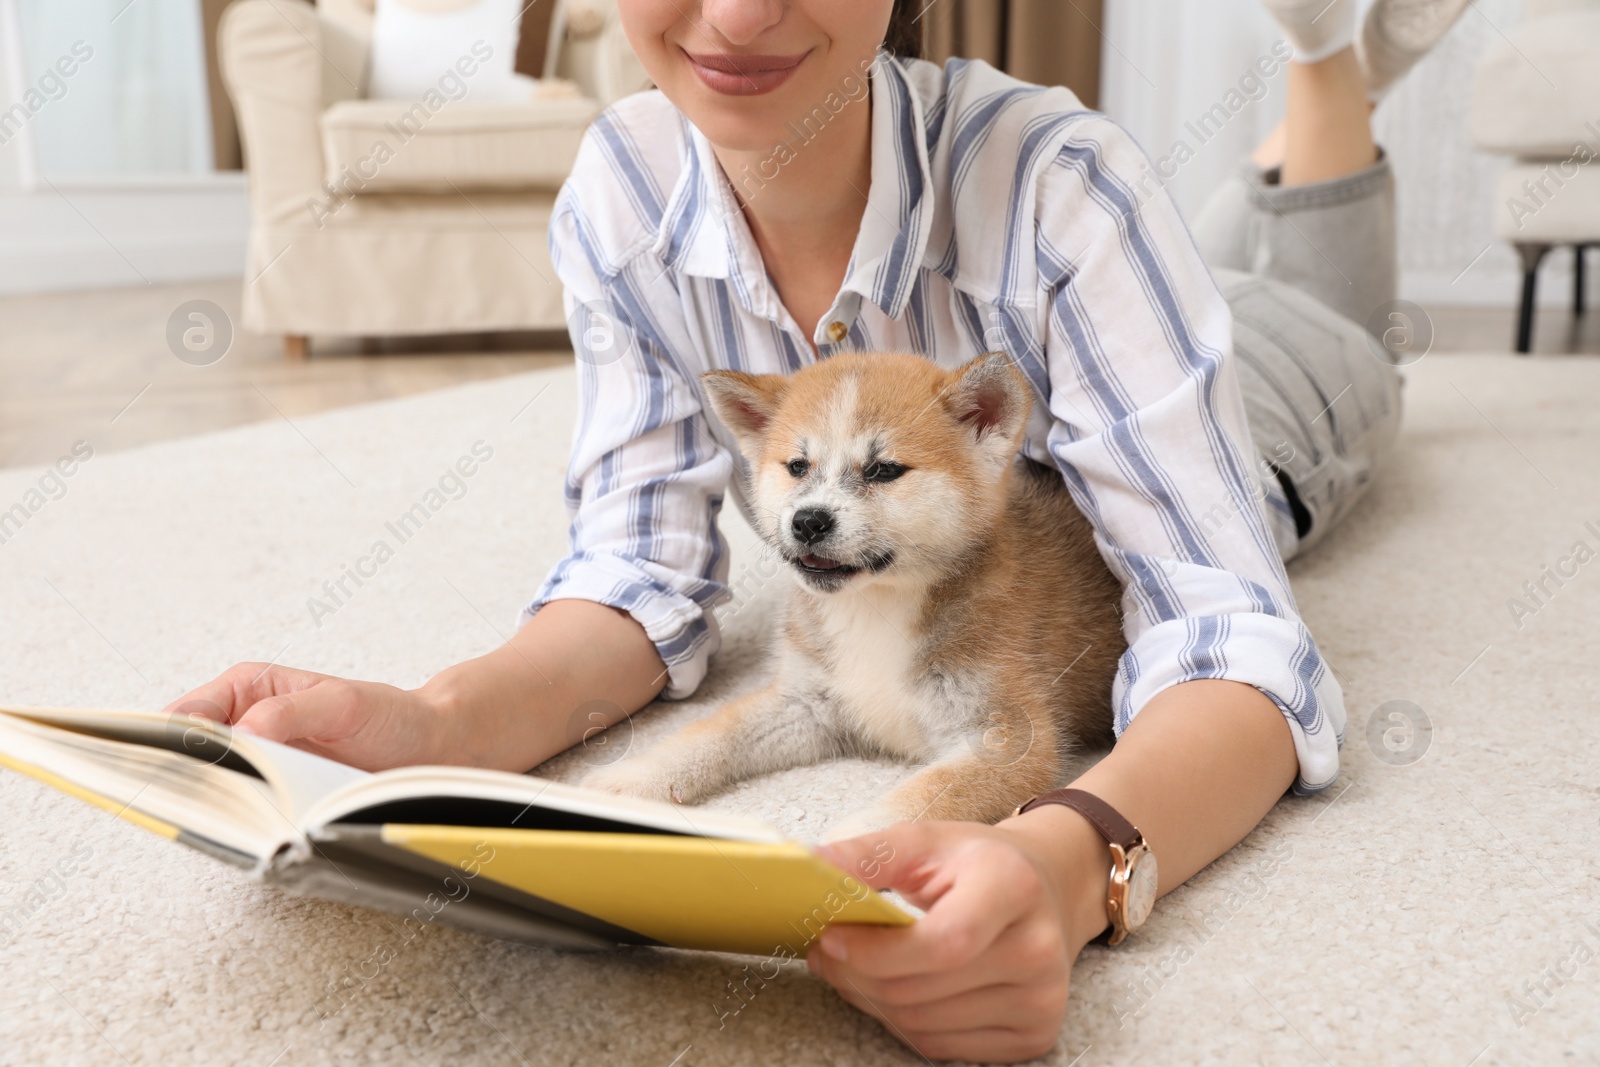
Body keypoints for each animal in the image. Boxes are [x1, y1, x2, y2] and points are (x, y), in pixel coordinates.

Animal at [585, 350, 1126, 831]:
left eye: (884, 469)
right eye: (798, 466)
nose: (808, 521)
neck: (877, 605)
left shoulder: (1009, 740)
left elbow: (908, 808)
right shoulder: (804, 701)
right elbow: (707, 734)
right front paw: (623, 784)